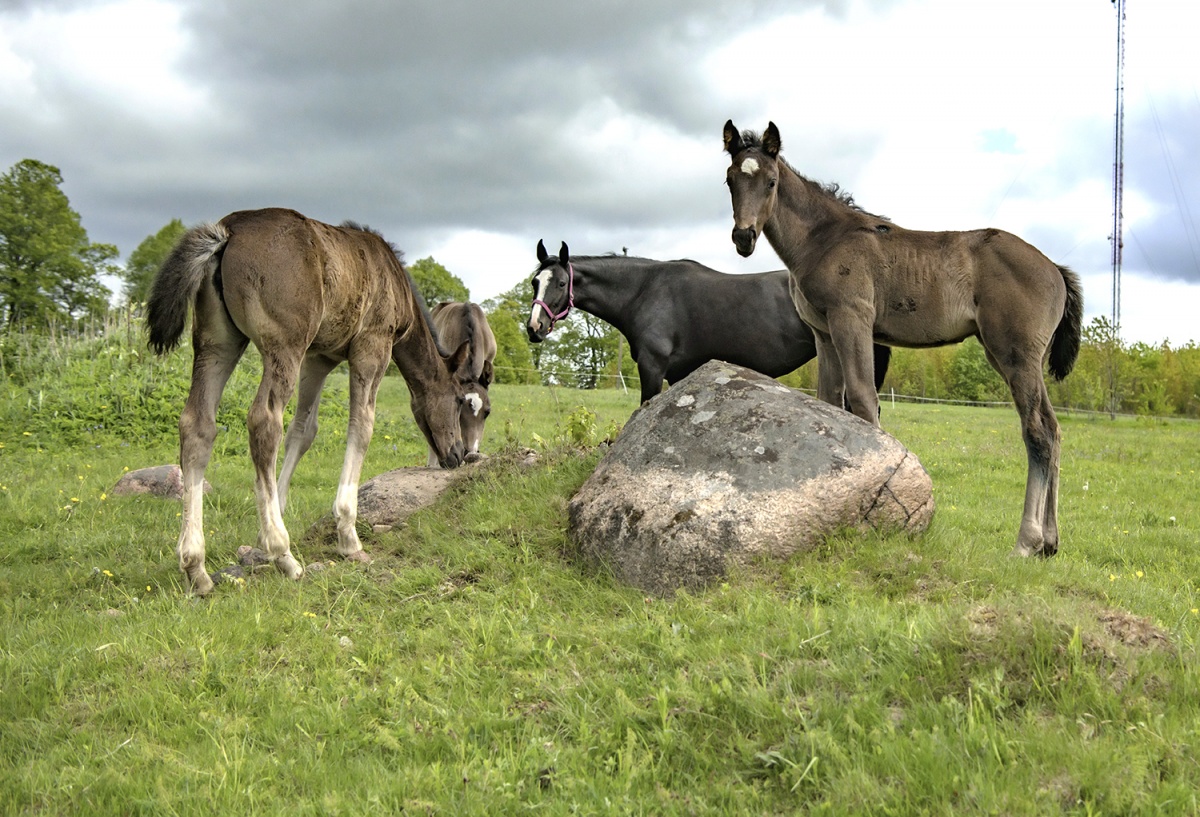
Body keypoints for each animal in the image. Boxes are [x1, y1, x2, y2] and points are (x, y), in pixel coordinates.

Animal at [146, 207, 471, 595]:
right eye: (458, 400)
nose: (457, 454)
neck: (397, 285)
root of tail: (228, 231)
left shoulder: (319, 359)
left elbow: (303, 431)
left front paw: (265, 530)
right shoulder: (371, 346)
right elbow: (361, 427)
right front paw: (347, 535)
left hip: (217, 343)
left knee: (197, 426)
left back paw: (197, 568)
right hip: (284, 346)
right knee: (264, 421)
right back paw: (284, 555)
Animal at [526, 239, 891, 405]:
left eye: (561, 283)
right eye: (534, 282)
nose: (534, 328)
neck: (645, 289)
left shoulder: (652, 367)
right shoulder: (677, 373)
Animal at [722, 121, 1084, 558]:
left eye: (772, 182)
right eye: (729, 180)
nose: (744, 237)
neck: (822, 239)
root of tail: (1055, 269)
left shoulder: (852, 320)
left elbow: (863, 399)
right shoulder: (823, 334)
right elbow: (830, 403)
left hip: (1015, 355)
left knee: (1037, 431)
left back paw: (1027, 541)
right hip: (1019, 359)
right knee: (1054, 427)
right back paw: (1050, 542)